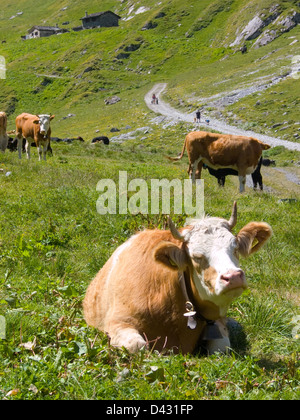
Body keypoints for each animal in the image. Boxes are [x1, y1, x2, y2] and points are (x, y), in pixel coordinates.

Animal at [82, 203, 272, 354]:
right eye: (196, 256)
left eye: (235, 248)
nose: (233, 277)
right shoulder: (117, 322)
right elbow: (138, 346)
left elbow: (221, 347)